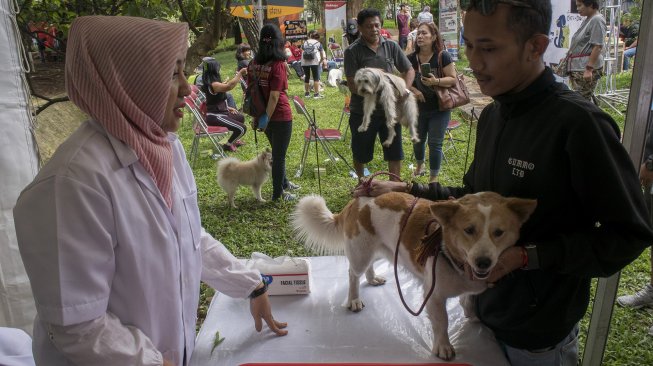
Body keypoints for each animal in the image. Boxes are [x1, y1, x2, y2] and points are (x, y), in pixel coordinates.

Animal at [290, 192, 536, 360]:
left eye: (499, 232)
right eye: (469, 230)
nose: (483, 262)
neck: (454, 256)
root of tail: (357, 200)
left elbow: (469, 299)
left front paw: (471, 313)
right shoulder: (434, 296)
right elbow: (442, 322)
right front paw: (443, 346)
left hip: (380, 250)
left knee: (368, 268)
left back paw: (372, 278)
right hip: (361, 253)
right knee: (352, 273)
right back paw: (354, 299)